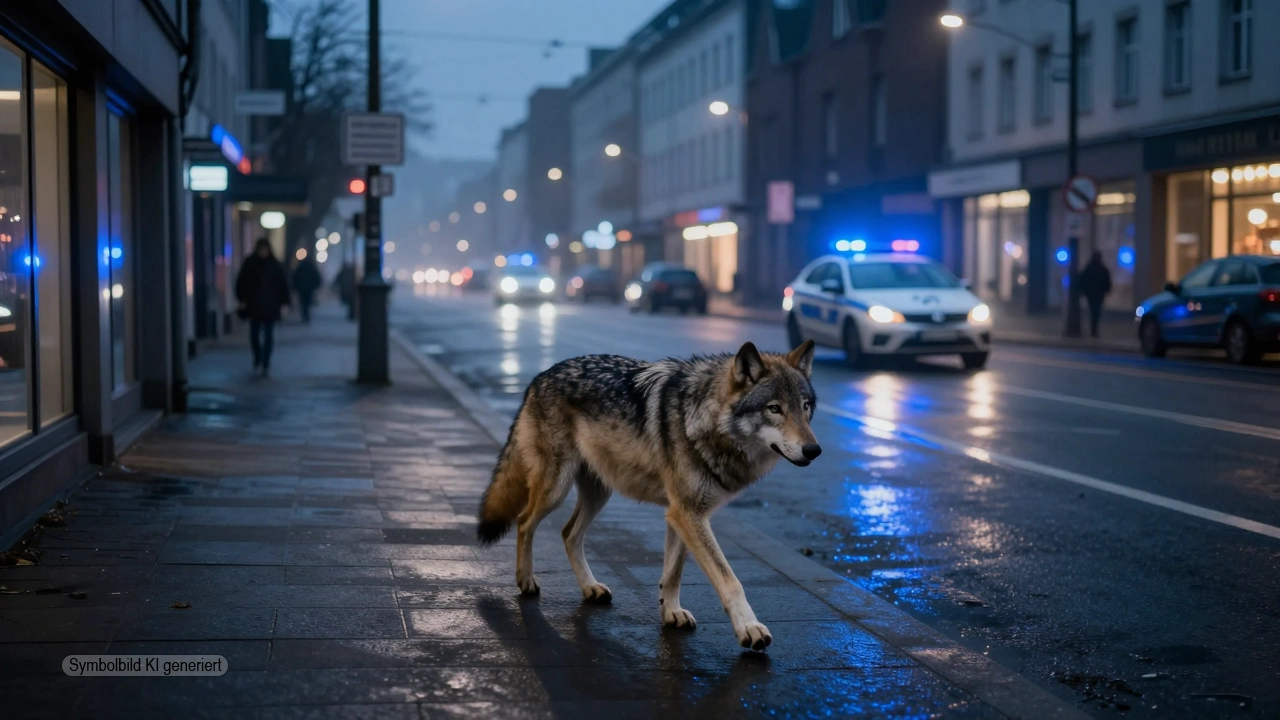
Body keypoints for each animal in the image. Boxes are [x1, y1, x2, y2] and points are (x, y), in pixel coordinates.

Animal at [476, 340, 820, 650]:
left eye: (805, 407)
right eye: (774, 409)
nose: (814, 450)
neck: (702, 418)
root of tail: (541, 376)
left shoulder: (684, 514)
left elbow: (673, 572)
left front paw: (671, 612)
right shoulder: (687, 513)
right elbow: (729, 579)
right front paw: (750, 628)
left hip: (599, 493)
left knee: (568, 532)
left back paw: (590, 588)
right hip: (555, 490)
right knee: (524, 521)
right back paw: (526, 581)